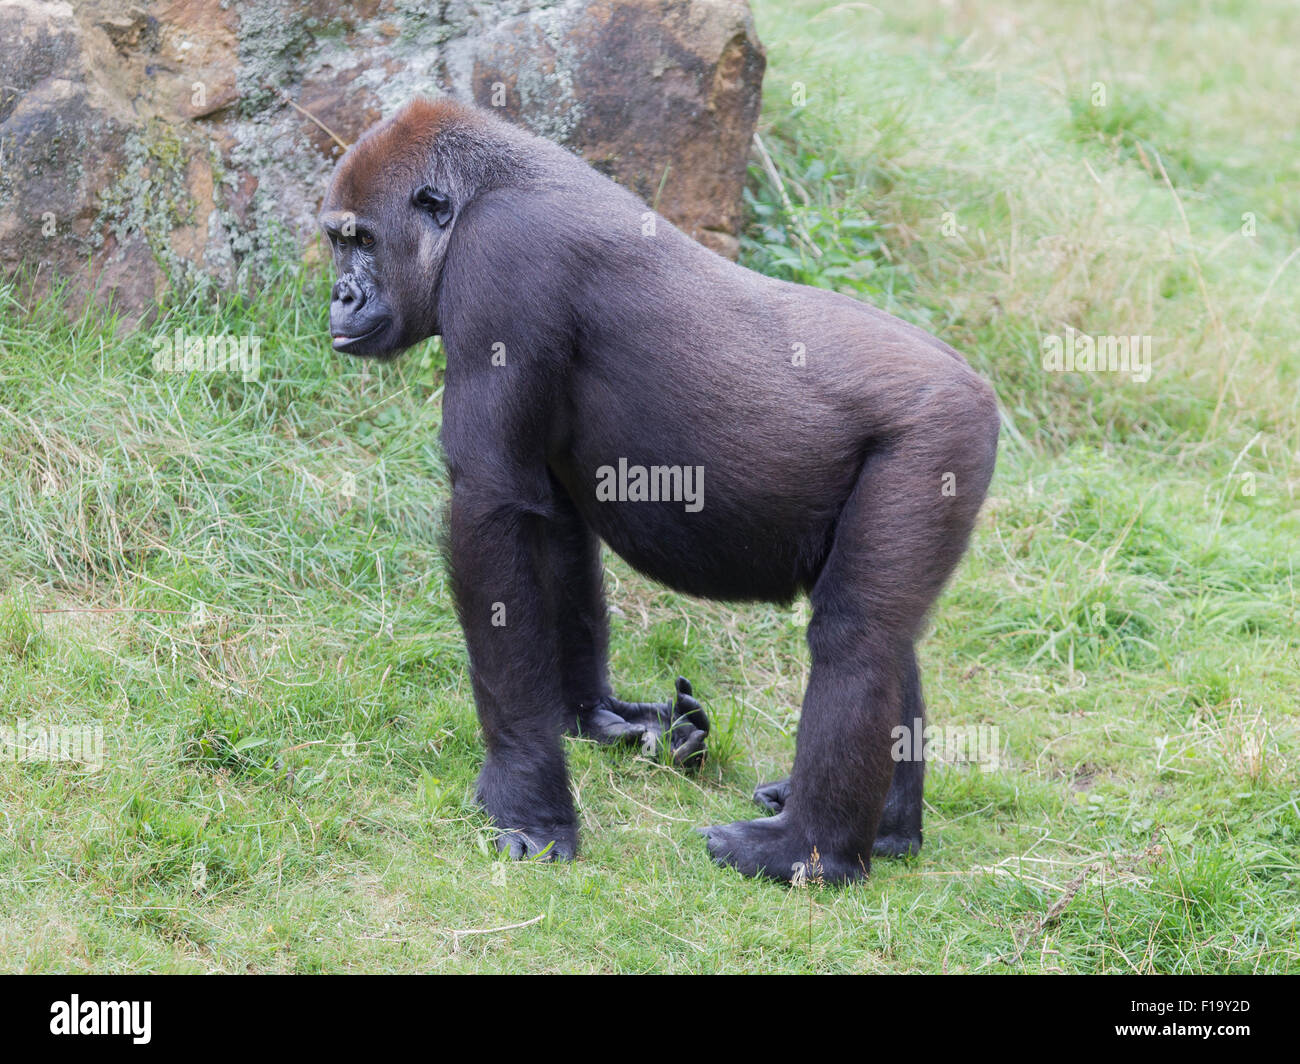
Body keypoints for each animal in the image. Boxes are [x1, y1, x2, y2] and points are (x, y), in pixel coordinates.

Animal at [319, 97, 998, 879]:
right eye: (337, 242)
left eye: (362, 240)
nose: (340, 294)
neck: (482, 193)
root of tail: (980, 387)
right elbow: (550, 531)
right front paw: (595, 718)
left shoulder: (502, 263)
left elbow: (491, 506)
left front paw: (524, 792)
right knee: (892, 634)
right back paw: (887, 830)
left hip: (937, 437)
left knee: (858, 637)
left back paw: (808, 851)